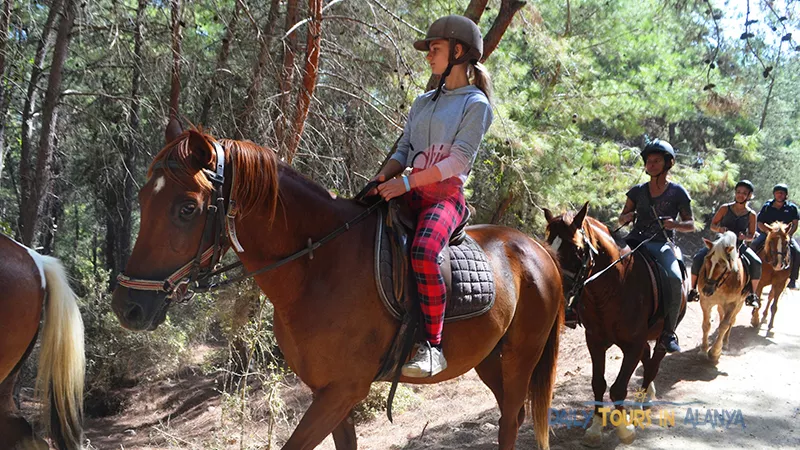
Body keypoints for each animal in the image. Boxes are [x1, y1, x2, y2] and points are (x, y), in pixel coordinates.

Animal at [109, 127, 564, 450]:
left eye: (187, 208)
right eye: (143, 198)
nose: (128, 306)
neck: (318, 267)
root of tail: (537, 249)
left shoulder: (343, 390)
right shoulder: (328, 392)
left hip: (521, 357)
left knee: (510, 421)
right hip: (488, 359)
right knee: (511, 414)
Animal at [544, 203, 688, 446]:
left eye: (577, 249)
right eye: (547, 244)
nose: (557, 291)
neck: (613, 287)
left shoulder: (632, 345)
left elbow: (619, 388)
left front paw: (624, 428)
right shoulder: (595, 341)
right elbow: (598, 384)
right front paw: (595, 428)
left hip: (662, 335)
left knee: (653, 364)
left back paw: (642, 403)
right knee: (647, 358)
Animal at [696, 230, 748, 364]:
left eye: (724, 265)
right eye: (707, 260)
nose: (707, 290)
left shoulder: (732, 304)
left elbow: (725, 325)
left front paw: (714, 353)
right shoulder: (706, 302)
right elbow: (706, 325)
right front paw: (703, 350)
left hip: (739, 304)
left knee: (731, 321)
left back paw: (724, 344)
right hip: (719, 304)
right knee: (721, 316)